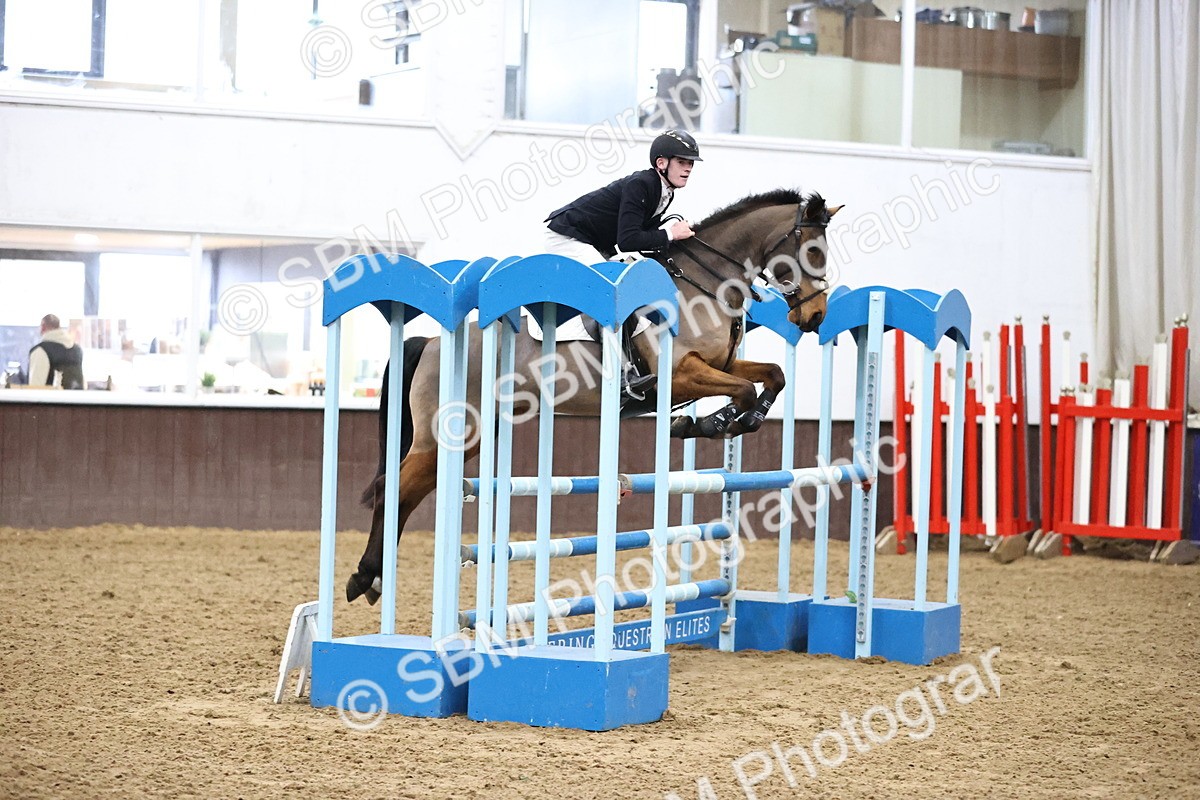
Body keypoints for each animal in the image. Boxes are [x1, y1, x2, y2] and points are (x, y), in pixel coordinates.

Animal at [346, 189, 843, 604]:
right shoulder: (680, 373)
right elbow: (742, 390)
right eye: (812, 251)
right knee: (394, 488)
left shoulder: (717, 365)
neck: (705, 284)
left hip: (473, 436)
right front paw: (715, 422)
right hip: (447, 434)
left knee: (409, 492)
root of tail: (432, 341)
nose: (816, 317)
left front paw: (726, 420)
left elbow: (772, 376)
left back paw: (375, 580)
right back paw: (364, 577)